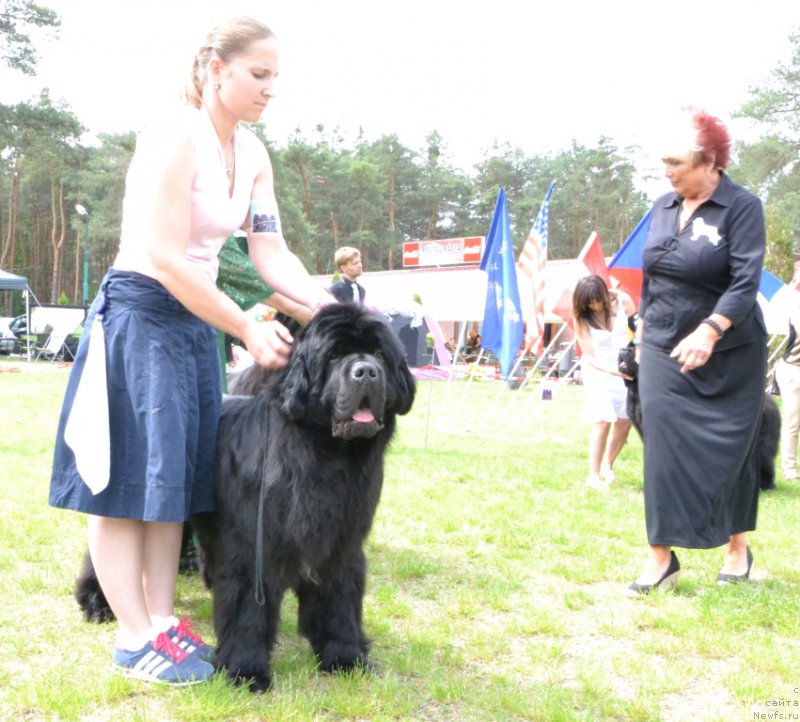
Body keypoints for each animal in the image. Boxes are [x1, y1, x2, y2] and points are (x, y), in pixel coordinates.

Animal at [72, 302, 416, 688]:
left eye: (380, 354)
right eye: (335, 355)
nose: (366, 372)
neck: (324, 455)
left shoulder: (342, 544)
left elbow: (340, 603)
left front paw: (345, 657)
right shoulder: (254, 546)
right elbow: (248, 611)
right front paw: (246, 670)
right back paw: (96, 603)